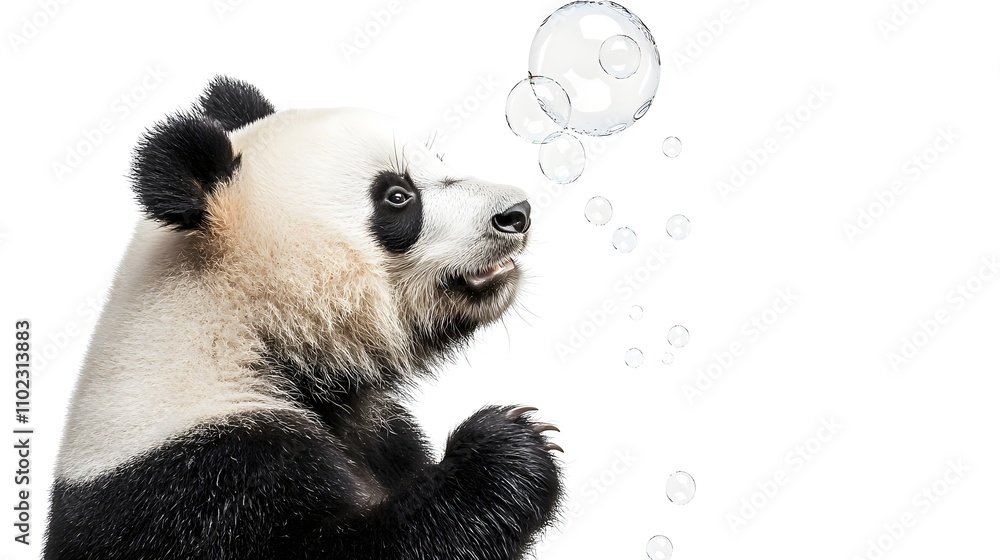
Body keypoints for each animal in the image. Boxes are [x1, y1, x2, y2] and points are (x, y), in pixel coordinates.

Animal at [45, 76, 562, 560]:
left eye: (436, 161)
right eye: (397, 196)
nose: (517, 212)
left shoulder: (375, 429)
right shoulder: (196, 483)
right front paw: (507, 449)